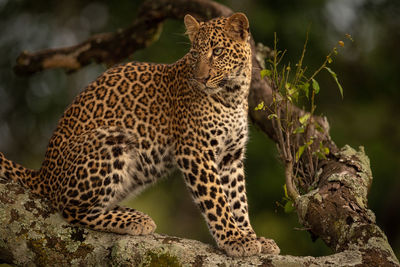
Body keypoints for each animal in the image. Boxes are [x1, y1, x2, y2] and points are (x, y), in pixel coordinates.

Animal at [0, 12, 280, 258]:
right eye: (195, 54)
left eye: (218, 52)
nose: (201, 78)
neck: (233, 94)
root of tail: (43, 172)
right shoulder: (195, 152)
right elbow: (217, 200)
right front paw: (235, 239)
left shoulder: (230, 157)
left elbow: (238, 200)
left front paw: (251, 236)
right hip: (111, 139)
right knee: (71, 209)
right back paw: (134, 218)